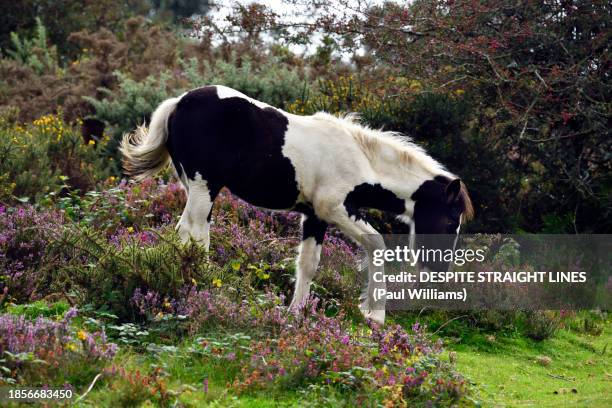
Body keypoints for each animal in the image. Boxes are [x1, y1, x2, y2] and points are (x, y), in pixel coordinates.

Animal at [120, 84, 474, 324]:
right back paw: (204, 288)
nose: (438, 272)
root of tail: (178, 103)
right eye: (448, 222)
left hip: (196, 186)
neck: (360, 159)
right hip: (203, 186)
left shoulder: (315, 216)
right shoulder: (335, 209)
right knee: (195, 234)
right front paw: (374, 316)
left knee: (187, 233)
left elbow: (308, 264)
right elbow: (377, 245)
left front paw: (297, 313)